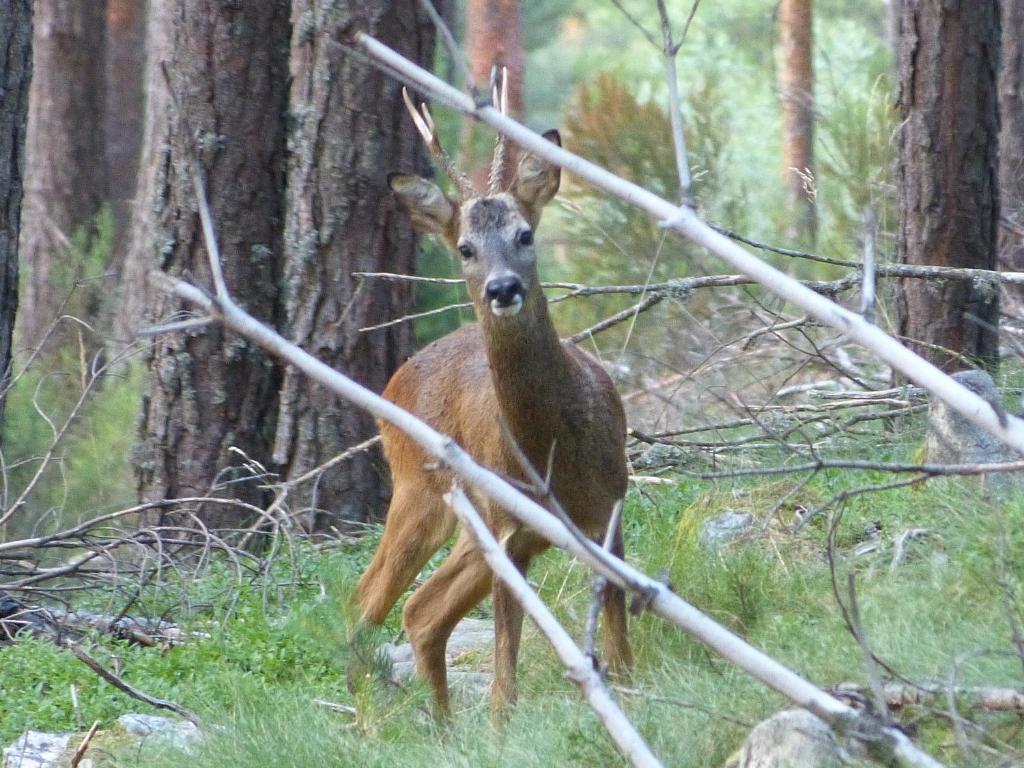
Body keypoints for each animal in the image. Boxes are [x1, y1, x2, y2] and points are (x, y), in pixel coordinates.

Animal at [358, 75, 630, 720]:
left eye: (524, 234)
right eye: (464, 248)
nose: (503, 287)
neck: (556, 452)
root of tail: (395, 382)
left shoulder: (610, 507)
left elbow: (622, 637)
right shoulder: (511, 529)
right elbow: (506, 673)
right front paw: (501, 728)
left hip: (472, 527)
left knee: (420, 611)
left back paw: (440, 726)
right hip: (421, 493)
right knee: (365, 604)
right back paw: (369, 727)